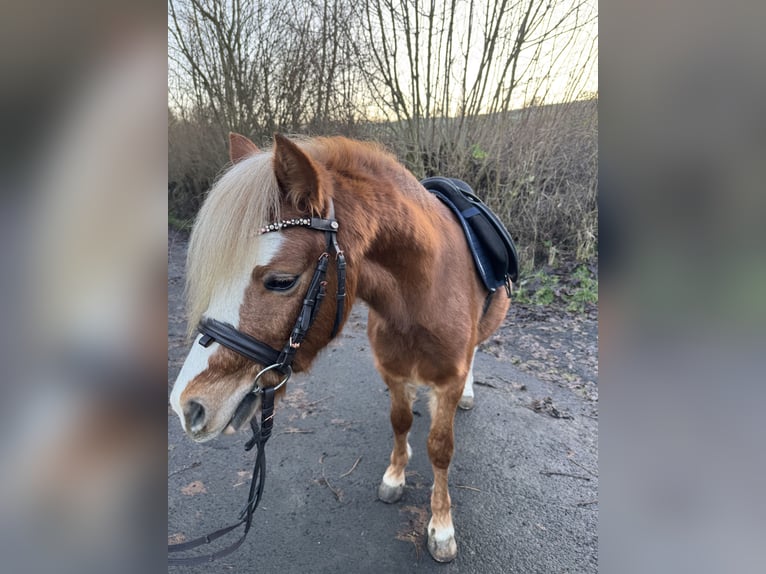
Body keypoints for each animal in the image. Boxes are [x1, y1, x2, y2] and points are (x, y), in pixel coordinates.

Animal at [171, 134, 512, 564]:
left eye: (281, 281)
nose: (188, 405)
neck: (422, 296)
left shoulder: (446, 381)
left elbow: (440, 449)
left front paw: (441, 526)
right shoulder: (392, 372)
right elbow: (400, 422)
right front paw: (394, 477)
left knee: (477, 351)